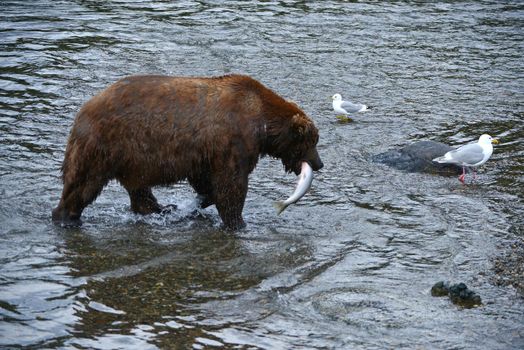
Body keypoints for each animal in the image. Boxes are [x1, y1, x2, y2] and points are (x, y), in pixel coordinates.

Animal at [54, 74, 324, 230]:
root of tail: (84, 109)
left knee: (138, 189)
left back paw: (162, 209)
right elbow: (231, 186)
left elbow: (207, 182)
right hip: (106, 144)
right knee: (83, 184)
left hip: (130, 158)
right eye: (312, 141)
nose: (319, 164)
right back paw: (67, 217)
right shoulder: (232, 141)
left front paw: (199, 203)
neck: (262, 124)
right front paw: (237, 222)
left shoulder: (204, 154)